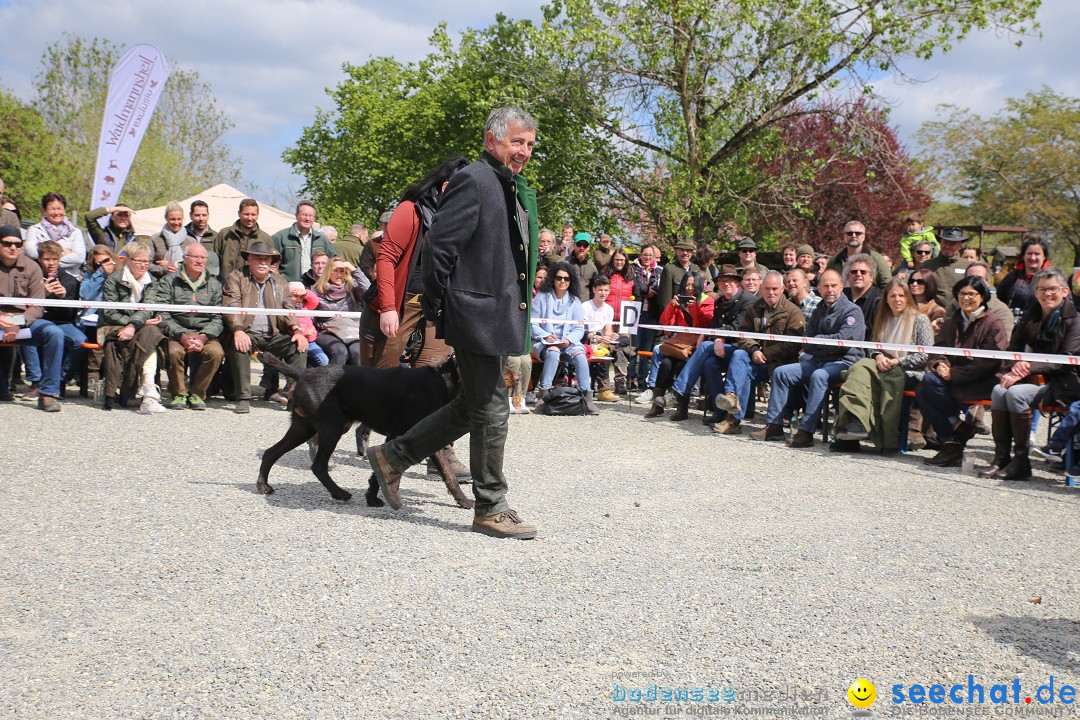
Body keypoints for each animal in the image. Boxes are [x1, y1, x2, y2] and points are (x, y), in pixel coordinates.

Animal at [254, 351, 475, 509]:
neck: (445, 381)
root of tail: (304, 373)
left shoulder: (420, 437)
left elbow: (447, 474)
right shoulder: (404, 435)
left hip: (303, 427)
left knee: (271, 452)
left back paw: (263, 486)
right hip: (332, 427)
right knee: (318, 466)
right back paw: (339, 493)